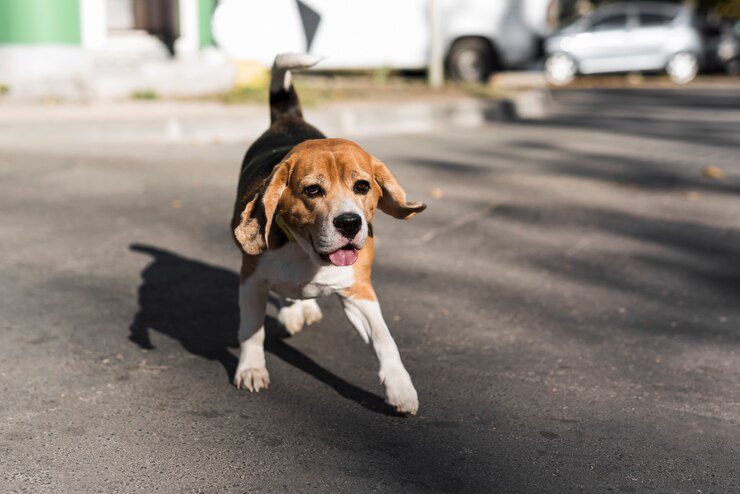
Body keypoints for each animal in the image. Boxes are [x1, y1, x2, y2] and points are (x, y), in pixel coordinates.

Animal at [231, 54, 428, 414]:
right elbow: (252, 331)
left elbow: (385, 340)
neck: (307, 254)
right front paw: (251, 369)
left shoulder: (358, 292)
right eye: (312, 190)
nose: (349, 223)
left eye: (362, 186)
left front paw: (400, 388)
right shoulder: (251, 281)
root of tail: (289, 118)